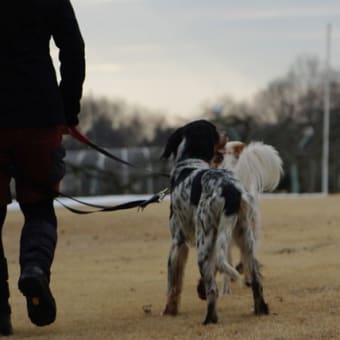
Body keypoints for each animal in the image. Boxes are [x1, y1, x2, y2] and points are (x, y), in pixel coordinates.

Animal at [161, 119, 270, 324]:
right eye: (215, 130)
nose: (226, 133)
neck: (190, 161)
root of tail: (231, 191)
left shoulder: (178, 242)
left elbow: (173, 284)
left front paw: (169, 310)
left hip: (204, 242)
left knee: (213, 289)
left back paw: (209, 319)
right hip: (245, 239)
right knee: (256, 280)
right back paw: (261, 310)